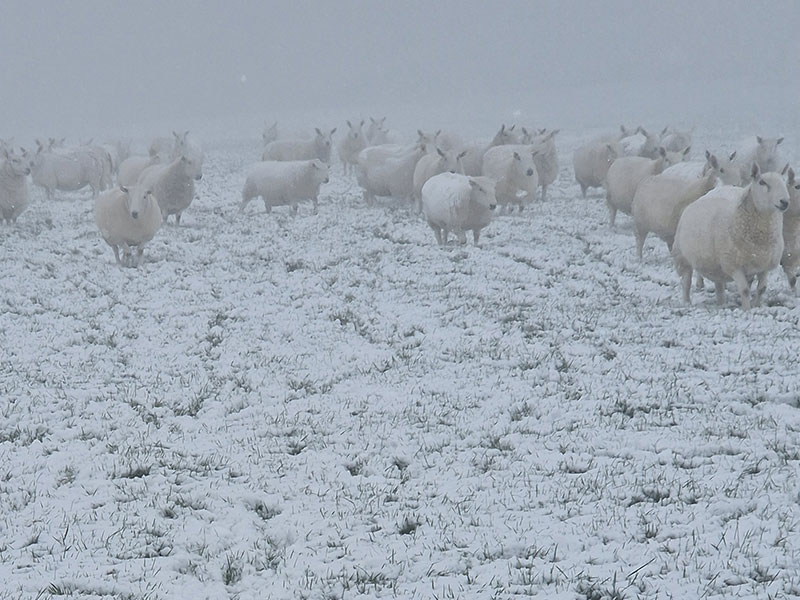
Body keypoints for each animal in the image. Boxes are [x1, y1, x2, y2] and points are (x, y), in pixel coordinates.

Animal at [672, 164, 789, 309]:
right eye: (762, 182)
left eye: (784, 182)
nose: (785, 202)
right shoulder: (733, 264)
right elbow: (744, 290)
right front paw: (747, 310)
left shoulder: (764, 265)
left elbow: (762, 289)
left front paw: (757, 306)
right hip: (682, 257)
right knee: (686, 282)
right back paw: (687, 303)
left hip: (715, 266)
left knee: (719, 285)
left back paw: (721, 304)